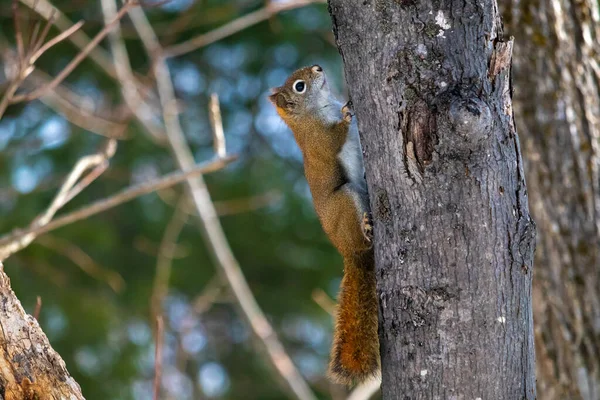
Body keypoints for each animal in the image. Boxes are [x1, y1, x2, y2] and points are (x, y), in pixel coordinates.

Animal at [268, 65, 378, 384]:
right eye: (300, 86)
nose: (318, 67)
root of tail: (349, 253)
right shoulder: (319, 141)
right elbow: (335, 138)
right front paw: (347, 114)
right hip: (347, 199)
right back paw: (367, 228)